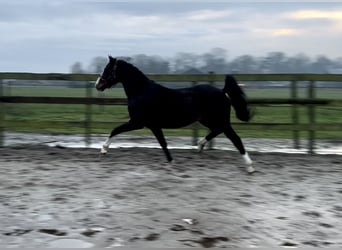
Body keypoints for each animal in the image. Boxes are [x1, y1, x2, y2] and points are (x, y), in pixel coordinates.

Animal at [95, 56, 255, 174]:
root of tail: (222, 92)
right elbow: (163, 143)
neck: (141, 91)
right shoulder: (153, 125)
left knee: (235, 139)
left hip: (219, 121)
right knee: (217, 131)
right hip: (209, 120)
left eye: (107, 69)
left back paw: (250, 167)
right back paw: (200, 145)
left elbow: (115, 130)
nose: (98, 85)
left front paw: (103, 150)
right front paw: (171, 162)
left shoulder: (137, 122)